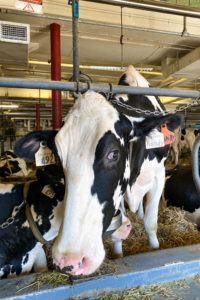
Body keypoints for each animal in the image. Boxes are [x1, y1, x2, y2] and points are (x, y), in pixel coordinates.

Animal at [14, 65, 181, 274]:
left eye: (113, 154)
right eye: (58, 157)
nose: (70, 260)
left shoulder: (159, 176)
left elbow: (151, 223)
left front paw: (155, 250)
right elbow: (119, 227)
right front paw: (118, 254)